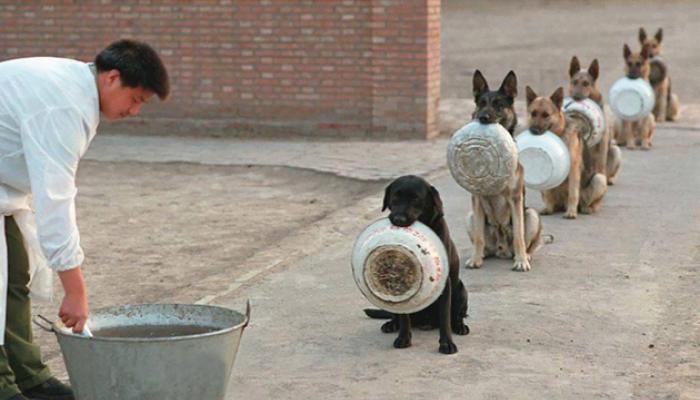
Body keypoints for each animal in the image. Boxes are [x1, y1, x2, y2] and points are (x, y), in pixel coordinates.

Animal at [360, 175, 470, 354]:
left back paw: (460, 326)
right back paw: (391, 324)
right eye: (395, 197)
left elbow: (445, 318)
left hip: (461, 290)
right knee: (397, 316)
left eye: (416, 199)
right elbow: (404, 318)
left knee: (456, 316)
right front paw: (404, 338)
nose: (398, 220)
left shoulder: (444, 285)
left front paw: (446, 343)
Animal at [464, 72, 548, 272]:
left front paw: (521, 261)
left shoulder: (515, 199)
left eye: (498, 105)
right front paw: (475, 259)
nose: (483, 117)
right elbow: (478, 237)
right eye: (481, 103)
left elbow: (519, 235)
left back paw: (525, 255)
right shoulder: (477, 200)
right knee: (482, 241)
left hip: (531, 215)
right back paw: (483, 254)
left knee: (528, 242)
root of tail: (501, 249)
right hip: (470, 216)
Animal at [524, 86, 608, 219]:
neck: (560, 134)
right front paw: (548, 208)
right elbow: (548, 193)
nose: (533, 130)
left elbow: (573, 193)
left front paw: (571, 212)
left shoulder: (573, 170)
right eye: (533, 114)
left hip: (599, 179)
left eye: (546, 115)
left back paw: (585, 208)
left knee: (588, 203)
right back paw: (552, 207)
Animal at [568, 55, 624, 184]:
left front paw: (600, 178)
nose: (575, 97)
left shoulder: (603, 141)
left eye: (586, 83)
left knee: (607, 172)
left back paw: (608, 179)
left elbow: (601, 162)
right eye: (574, 82)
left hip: (615, 150)